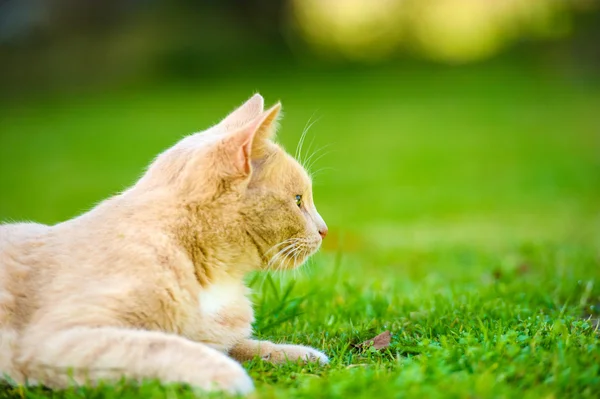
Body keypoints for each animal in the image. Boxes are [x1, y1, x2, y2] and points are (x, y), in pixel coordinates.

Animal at [0, 94, 328, 396]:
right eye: (298, 200)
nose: (324, 230)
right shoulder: (58, 338)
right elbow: (164, 346)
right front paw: (233, 377)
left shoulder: (216, 336)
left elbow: (242, 345)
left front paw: (302, 355)